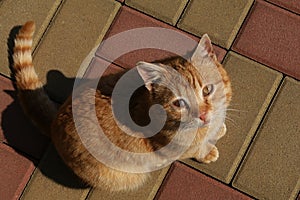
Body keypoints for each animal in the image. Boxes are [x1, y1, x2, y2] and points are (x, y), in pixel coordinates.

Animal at [11, 21, 232, 191]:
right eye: (179, 103)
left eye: (207, 90)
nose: (203, 115)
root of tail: (55, 121)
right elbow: (197, 151)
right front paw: (208, 151)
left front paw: (218, 128)